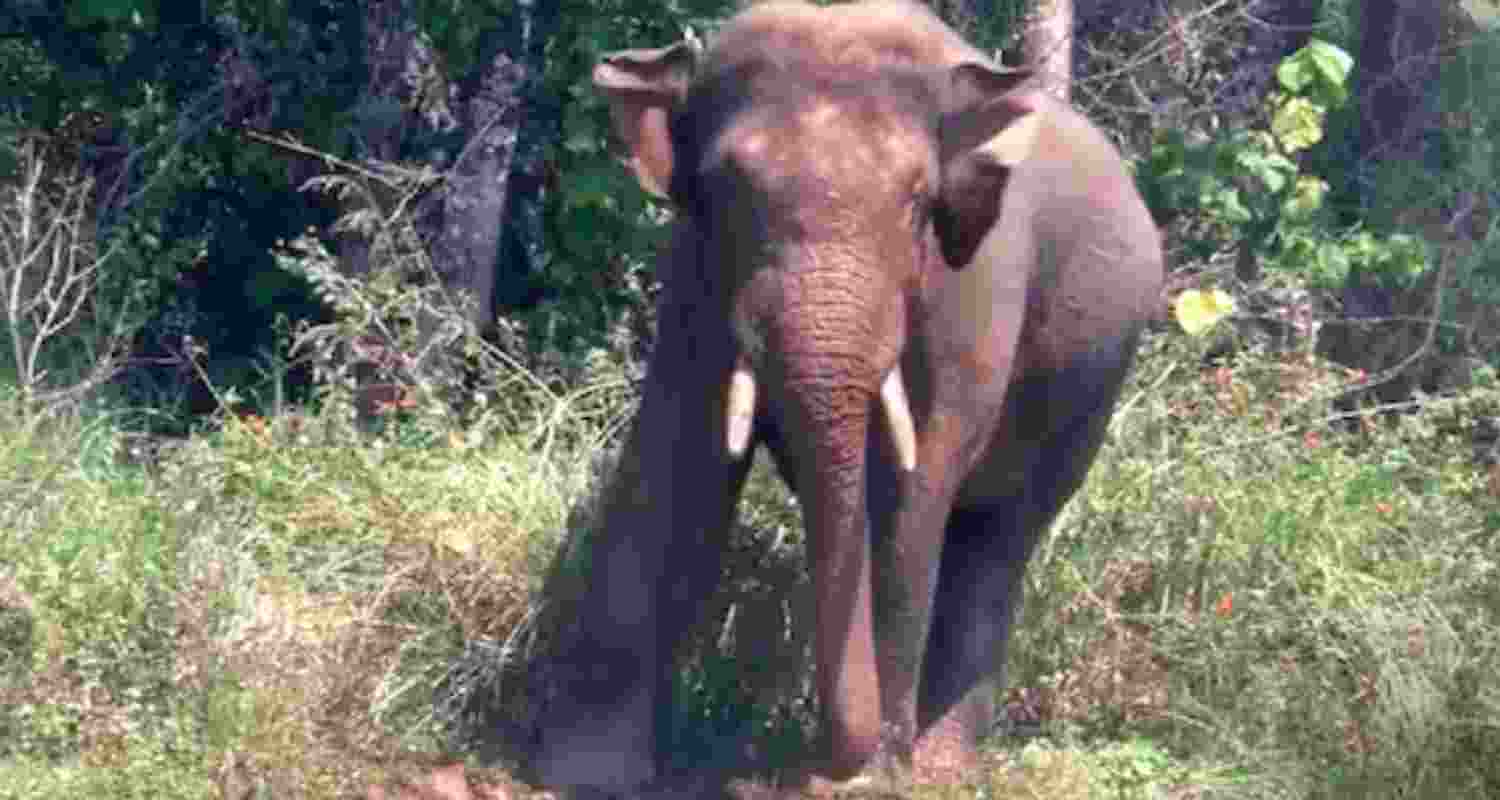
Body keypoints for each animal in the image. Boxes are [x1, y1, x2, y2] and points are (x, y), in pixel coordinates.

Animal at [526, 0, 1163, 792]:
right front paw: (582, 773)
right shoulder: (696, 269)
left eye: (918, 201)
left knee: (1002, 538)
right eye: (727, 190)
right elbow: (676, 458)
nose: (826, 762)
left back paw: (943, 769)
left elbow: (913, 485)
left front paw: (869, 783)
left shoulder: (977, 283)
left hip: (1094, 387)